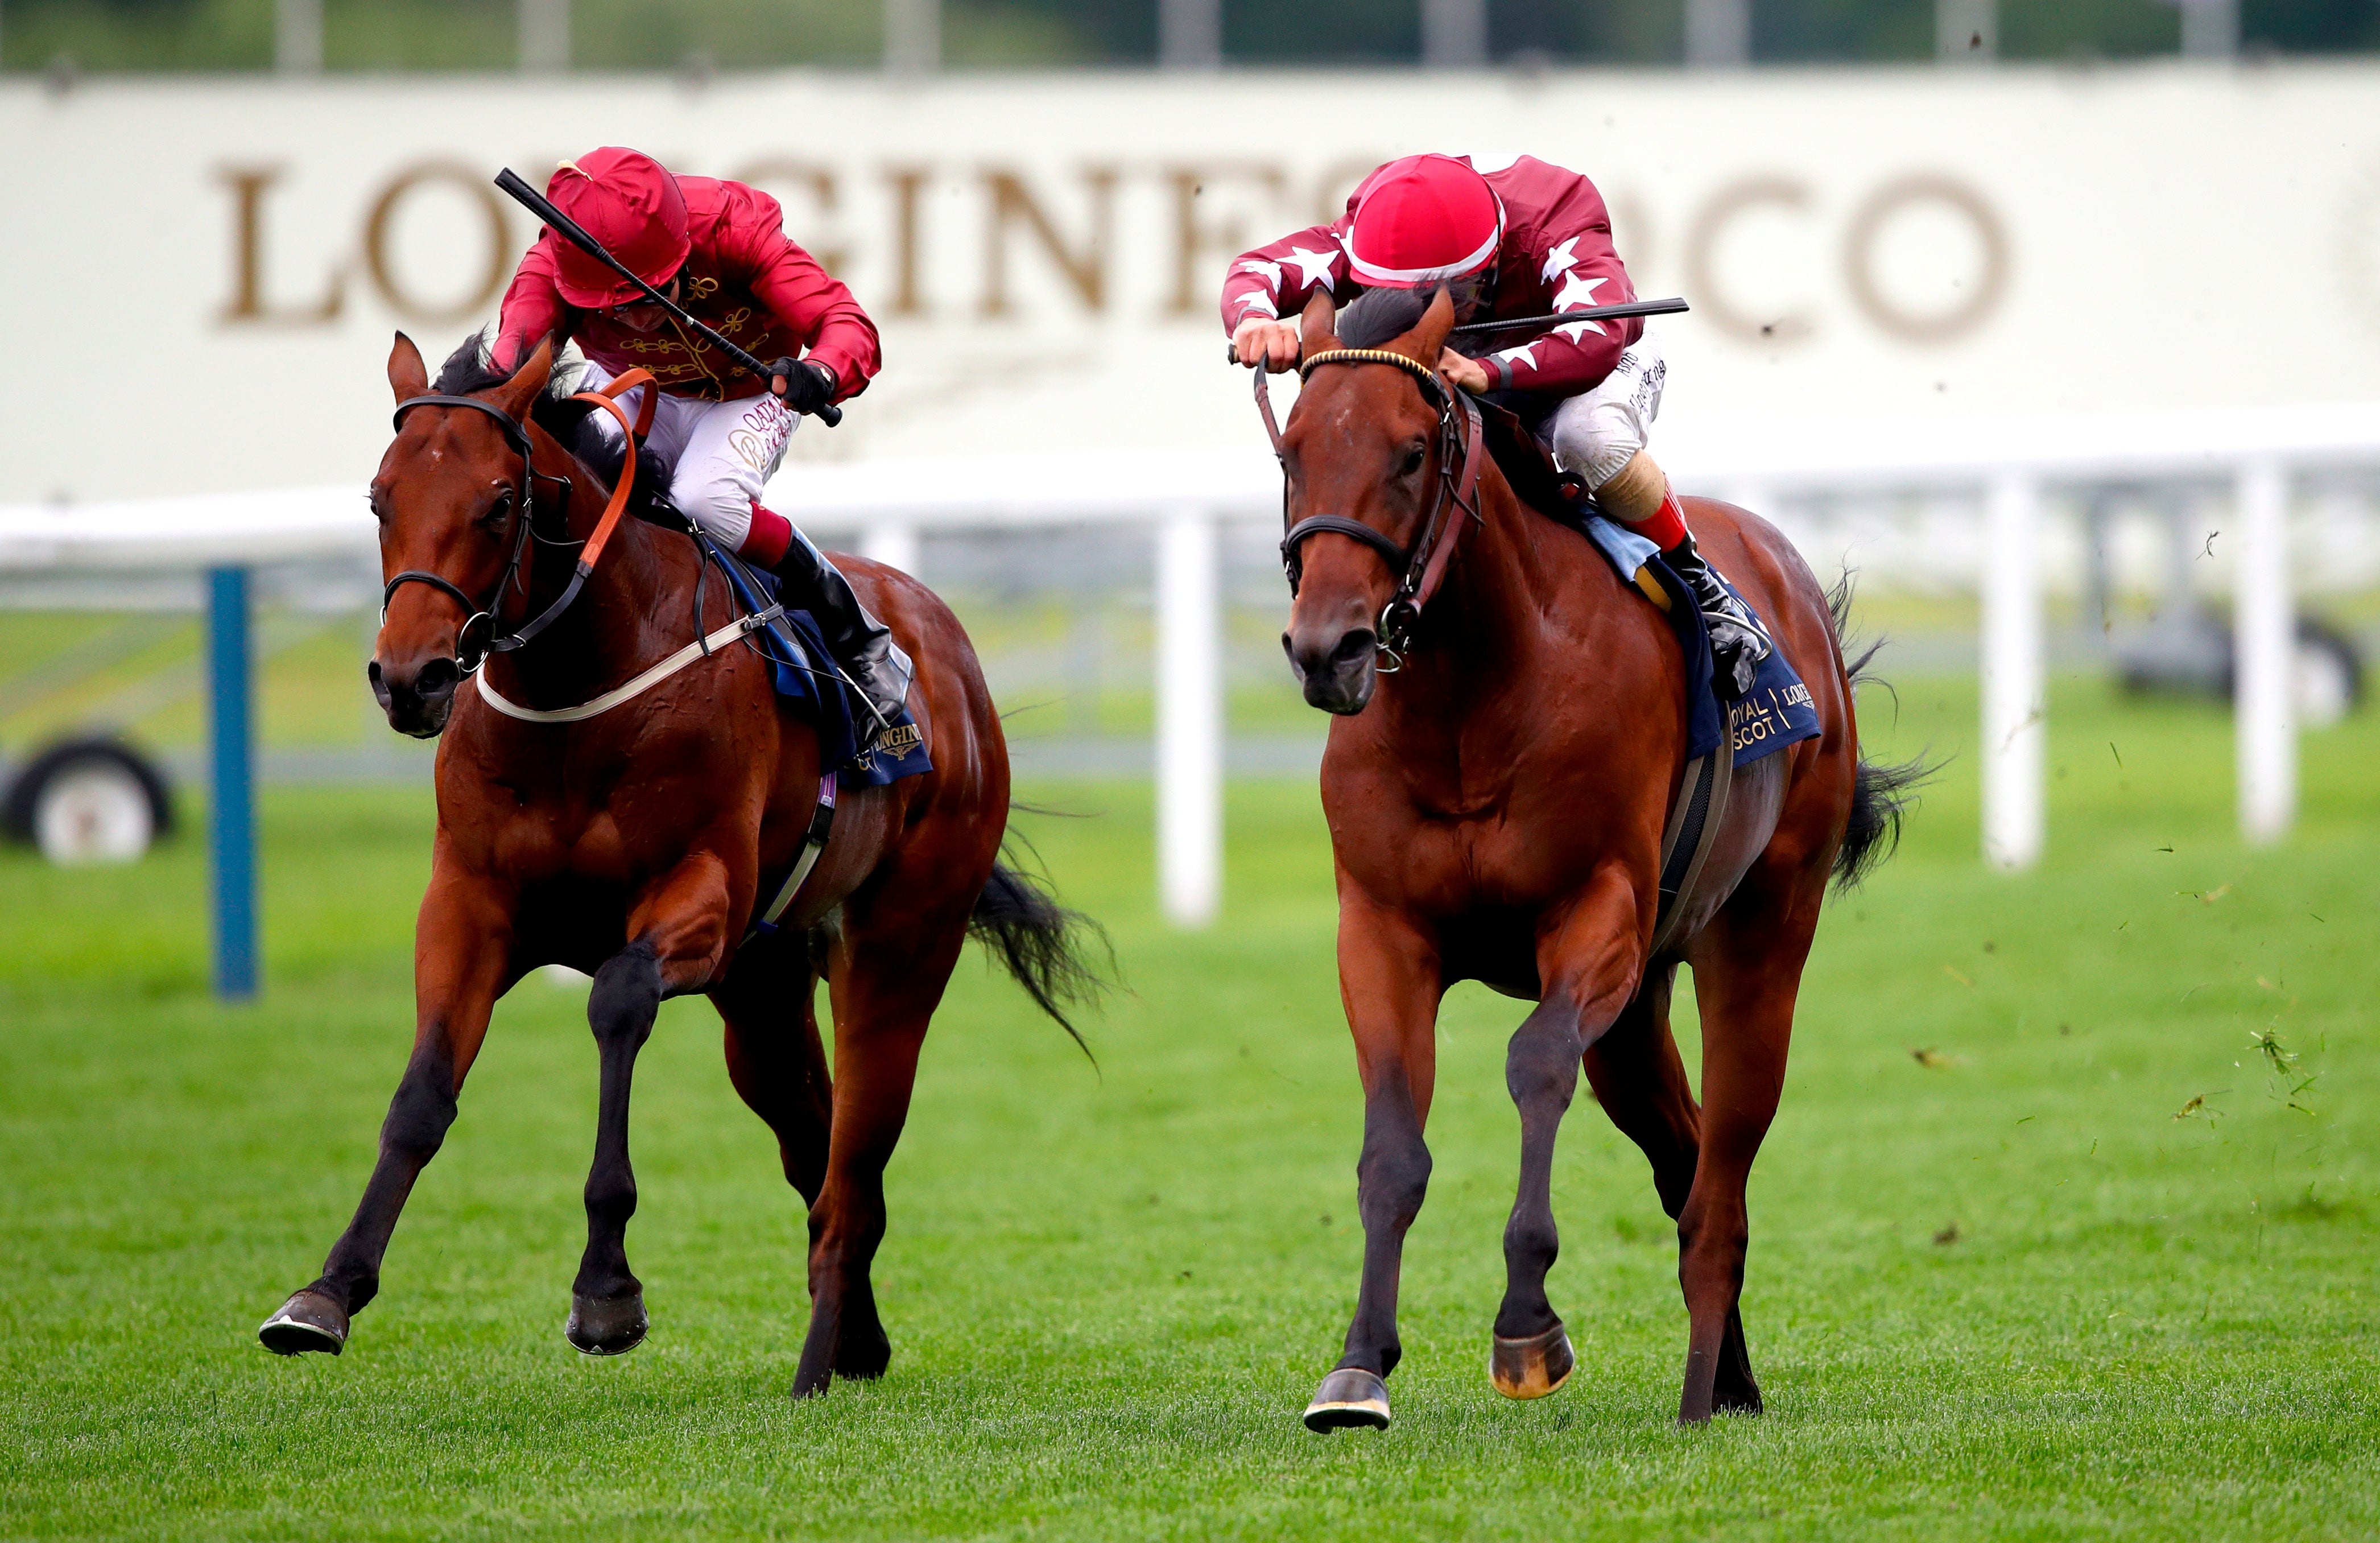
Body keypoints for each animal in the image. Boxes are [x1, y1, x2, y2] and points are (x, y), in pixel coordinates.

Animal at [258, 331, 1094, 1391]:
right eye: (380, 499)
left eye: (497, 503)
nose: (409, 678)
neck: (579, 690)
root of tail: (944, 644)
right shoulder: (470, 902)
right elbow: (420, 1094)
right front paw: (326, 1291)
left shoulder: (701, 892)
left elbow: (617, 1001)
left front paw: (605, 1290)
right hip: (764, 990)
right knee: (816, 1151)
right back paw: (857, 1340)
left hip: (899, 948)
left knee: (855, 1163)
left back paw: (816, 1366)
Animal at [1266, 289, 1913, 1419]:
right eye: (1293, 449)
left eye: (1408, 452)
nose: (1326, 648)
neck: (1468, 700)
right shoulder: (1383, 930)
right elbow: (1391, 1147)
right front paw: (1358, 1365)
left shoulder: (1594, 908)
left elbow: (1533, 1066)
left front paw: (1527, 1327)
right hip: (1636, 1006)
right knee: (1684, 1157)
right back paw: (1732, 1378)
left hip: (1758, 939)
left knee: (1721, 1176)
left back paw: (1703, 1395)